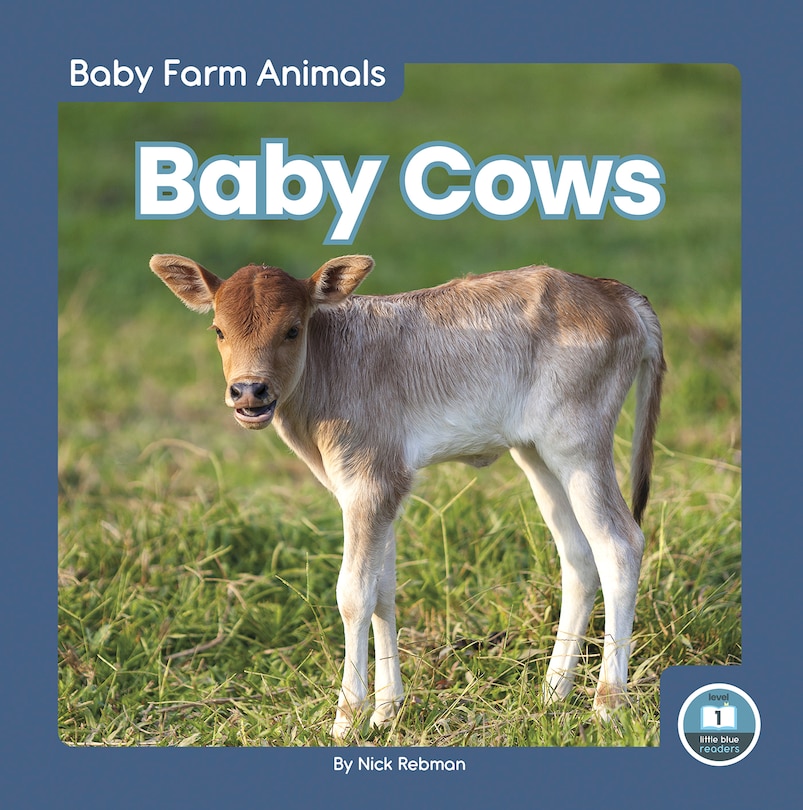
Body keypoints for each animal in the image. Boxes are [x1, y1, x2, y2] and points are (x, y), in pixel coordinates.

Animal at [150, 252, 665, 739]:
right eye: (219, 330)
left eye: (293, 329)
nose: (248, 392)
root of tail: (614, 292)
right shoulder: (383, 486)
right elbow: (383, 589)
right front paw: (385, 712)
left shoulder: (368, 482)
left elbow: (354, 593)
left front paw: (346, 719)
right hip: (537, 454)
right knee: (577, 555)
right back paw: (553, 693)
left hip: (578, 445)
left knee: (620, 544)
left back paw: (606, 704)